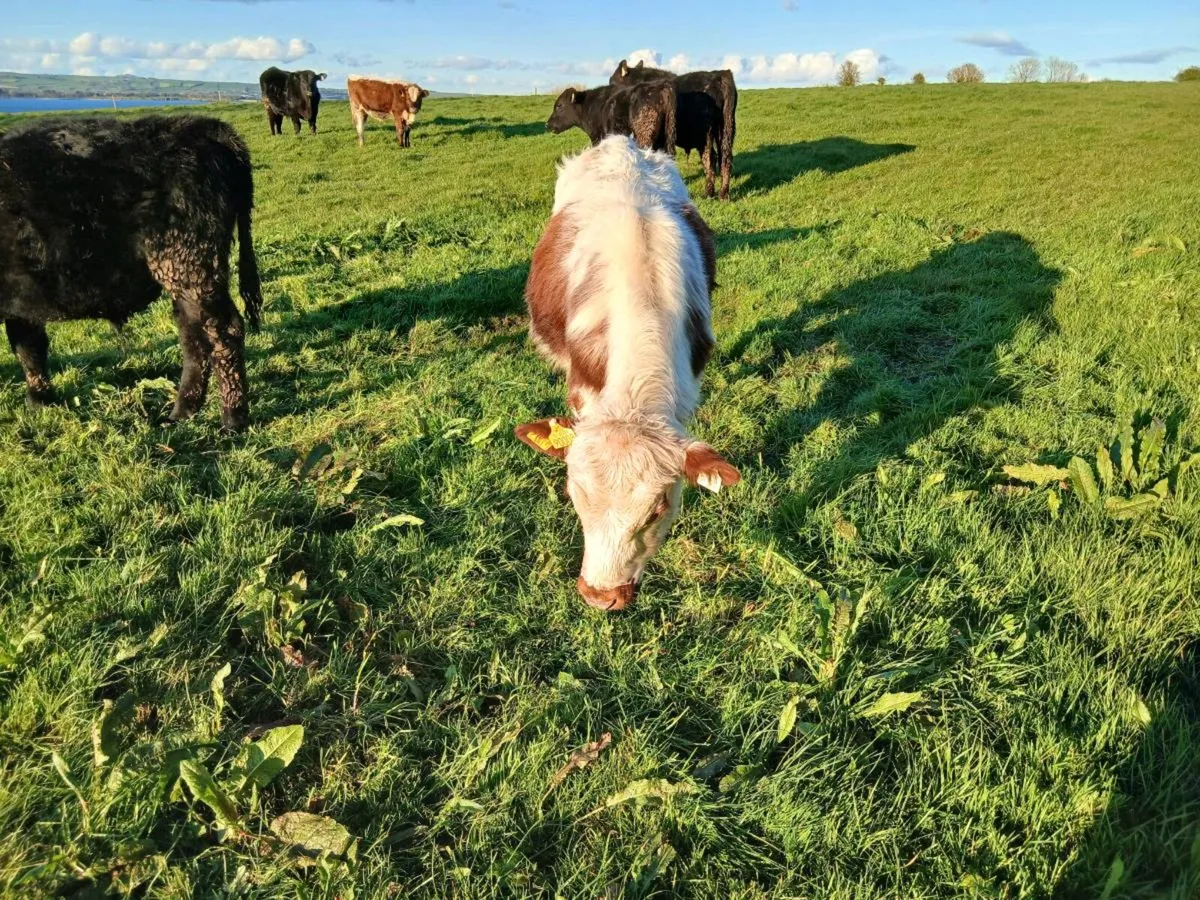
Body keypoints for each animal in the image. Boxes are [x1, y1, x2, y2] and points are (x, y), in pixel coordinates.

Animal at [0, 116, 263, 432]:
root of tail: (199, 126)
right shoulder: (21, 299)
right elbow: (29, 348)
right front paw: (41, 402)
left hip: (191, 265)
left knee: (223, 331)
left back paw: (233, 419)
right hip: (183, 274)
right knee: (194, 335)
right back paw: (181, 413)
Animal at [610, 60, 738, 200]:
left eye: (612, 82)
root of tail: (720, 74)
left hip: (705, 135)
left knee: (710, 158)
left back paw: (709, 193)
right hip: (726, 129)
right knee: (725, 157)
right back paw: (723, 194)